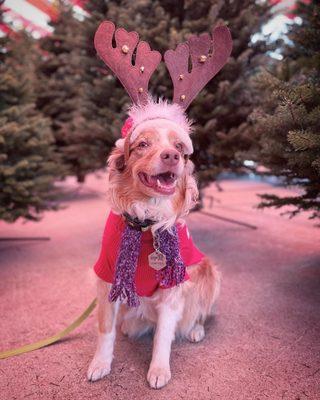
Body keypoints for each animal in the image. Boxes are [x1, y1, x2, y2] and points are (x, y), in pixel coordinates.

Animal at [86, 21, 231, 388]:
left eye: (180, 145)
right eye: (142, 144)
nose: (172, 156)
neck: (146, 222)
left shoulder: (173, 285)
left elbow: (164, 335)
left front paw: (159, 370)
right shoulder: (107, 278)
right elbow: (105, 331)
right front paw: (100, 363)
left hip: (209, 272)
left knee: (196, 316)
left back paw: (194, 330)